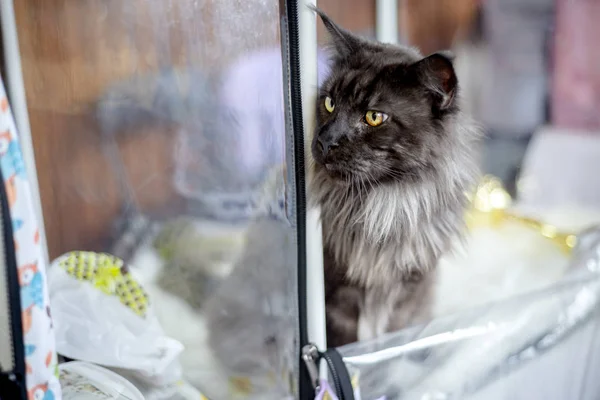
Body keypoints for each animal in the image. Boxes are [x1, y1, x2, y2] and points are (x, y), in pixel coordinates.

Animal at [312, 9, 480, 346]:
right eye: (329, 103)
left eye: (374, 117)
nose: (324, 142)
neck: (386, 205)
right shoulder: (337, 297)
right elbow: (347, 344)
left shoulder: (410, 290)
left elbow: (394, 336)